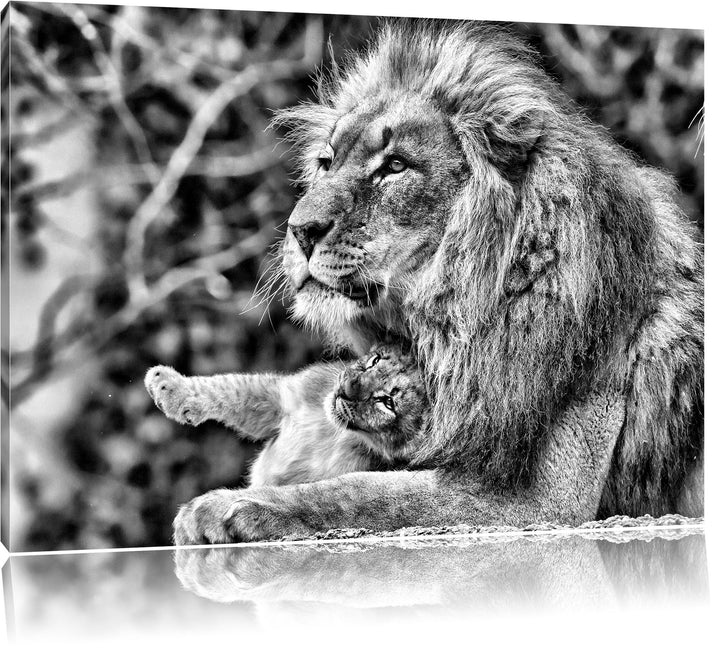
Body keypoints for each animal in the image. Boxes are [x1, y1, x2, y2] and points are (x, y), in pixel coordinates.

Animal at [172, 20, 703, 545]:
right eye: (326, 163)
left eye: (395, 166)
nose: (300, 230)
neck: (459, 317)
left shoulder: (543, 502)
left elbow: (364, 492)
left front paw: (231, 506)